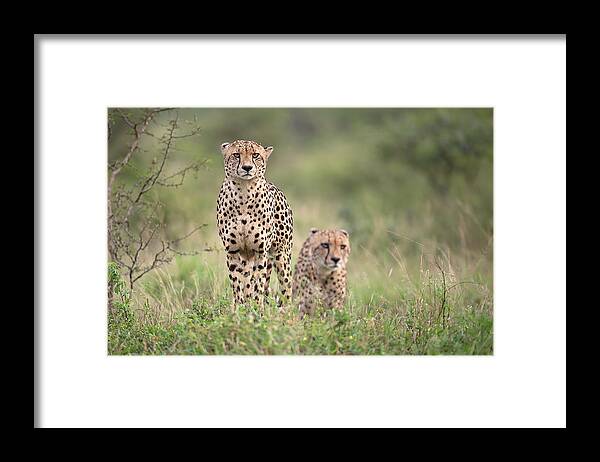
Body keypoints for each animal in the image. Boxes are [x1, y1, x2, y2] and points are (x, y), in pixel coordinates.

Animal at [217, 139, 294, 308]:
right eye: (236, 155)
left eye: (255, 155)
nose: (247, 168)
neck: (244, 193)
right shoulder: (233, 252)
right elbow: (238, 285)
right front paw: (240, 309)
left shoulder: (260, 252)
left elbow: (258, 284)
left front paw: (257, 309)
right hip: (247, 257)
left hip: (281, 255)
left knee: (286, 287)